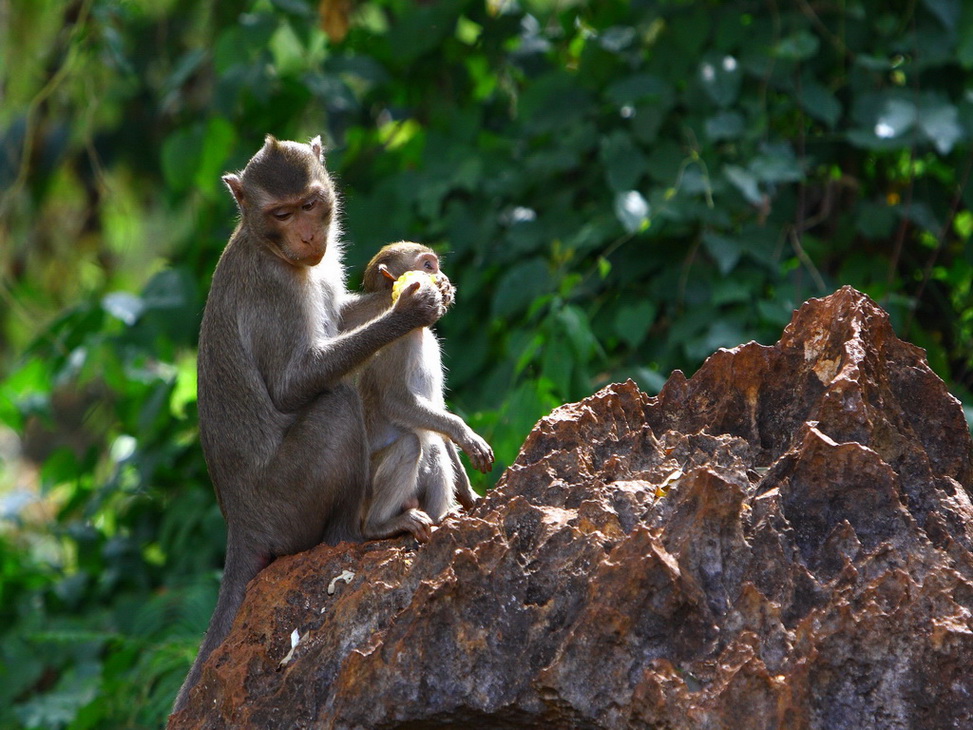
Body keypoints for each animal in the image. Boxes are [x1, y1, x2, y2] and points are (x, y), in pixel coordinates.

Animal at [173, 135, 446, 712]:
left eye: (310, 203)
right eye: (281, 213)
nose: (305, 235)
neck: (266, 246)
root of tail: (241, 523)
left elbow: (339, 317)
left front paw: (393, 291)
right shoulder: (274, 291)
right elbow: (292, 385)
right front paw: (406, 313)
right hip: (288, 500)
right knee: (336, 406)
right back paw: (358, 535)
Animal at [348, 242, 494, 536]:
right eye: (428, 266)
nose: (445, 279)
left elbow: (439, 416)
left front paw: (468, 494)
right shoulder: (395, 343)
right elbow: (395, 402)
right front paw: (465, 433)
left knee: (435, 445)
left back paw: (441, 517)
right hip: (366, 493)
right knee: (410, 444)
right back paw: (379, 527)